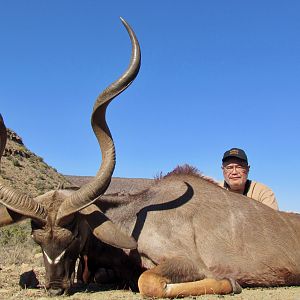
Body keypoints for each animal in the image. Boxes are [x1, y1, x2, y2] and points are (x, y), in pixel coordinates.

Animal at [0, 19, 300, 300]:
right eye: (36, 238)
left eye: (73, 232)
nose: (54, 288)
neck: (133, 217)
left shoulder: (187, 262)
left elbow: (149, 282)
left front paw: (231, 283)